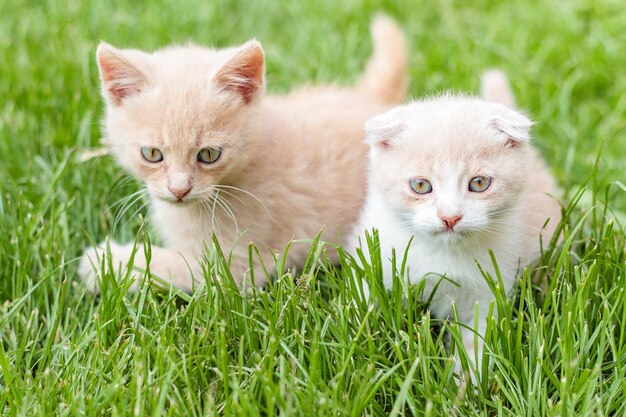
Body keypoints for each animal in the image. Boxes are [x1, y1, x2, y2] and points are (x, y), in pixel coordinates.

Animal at [78, 15, 408, 290]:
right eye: (152, 154)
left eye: (209, 155)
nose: (179, 190)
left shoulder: (237, 263)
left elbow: (169, 267)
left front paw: (103, 264)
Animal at [346, 70, 560, 374]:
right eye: (420, 185)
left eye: (479, 183)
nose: (450, 217)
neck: (440, 254)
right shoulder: (372, 256)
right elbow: (361, 301)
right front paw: (356, 349)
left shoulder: (489, 290)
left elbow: (477, 342)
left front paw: (465, 381)